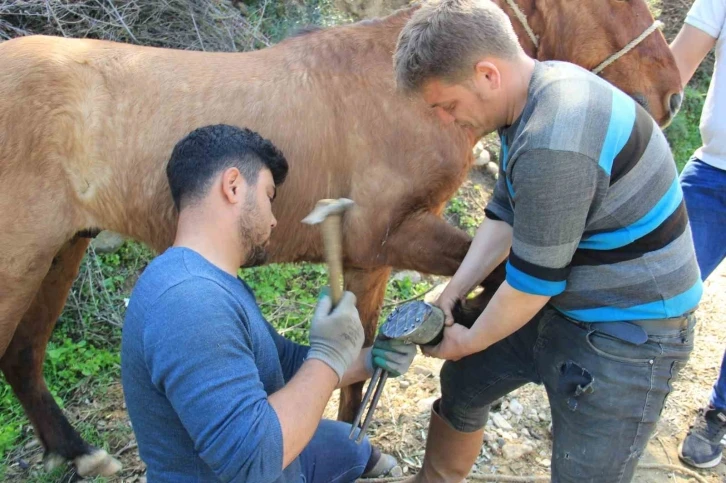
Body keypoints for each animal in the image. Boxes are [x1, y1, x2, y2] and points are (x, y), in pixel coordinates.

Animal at [0, 0, 684, 476]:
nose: (672, 95)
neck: (394, 90)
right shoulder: (389, 238)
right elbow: (485, 275)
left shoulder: (369, 261)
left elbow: (366, 361)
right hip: (22, 262)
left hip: (62, 250)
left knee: (22, 356)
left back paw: (77, 452)